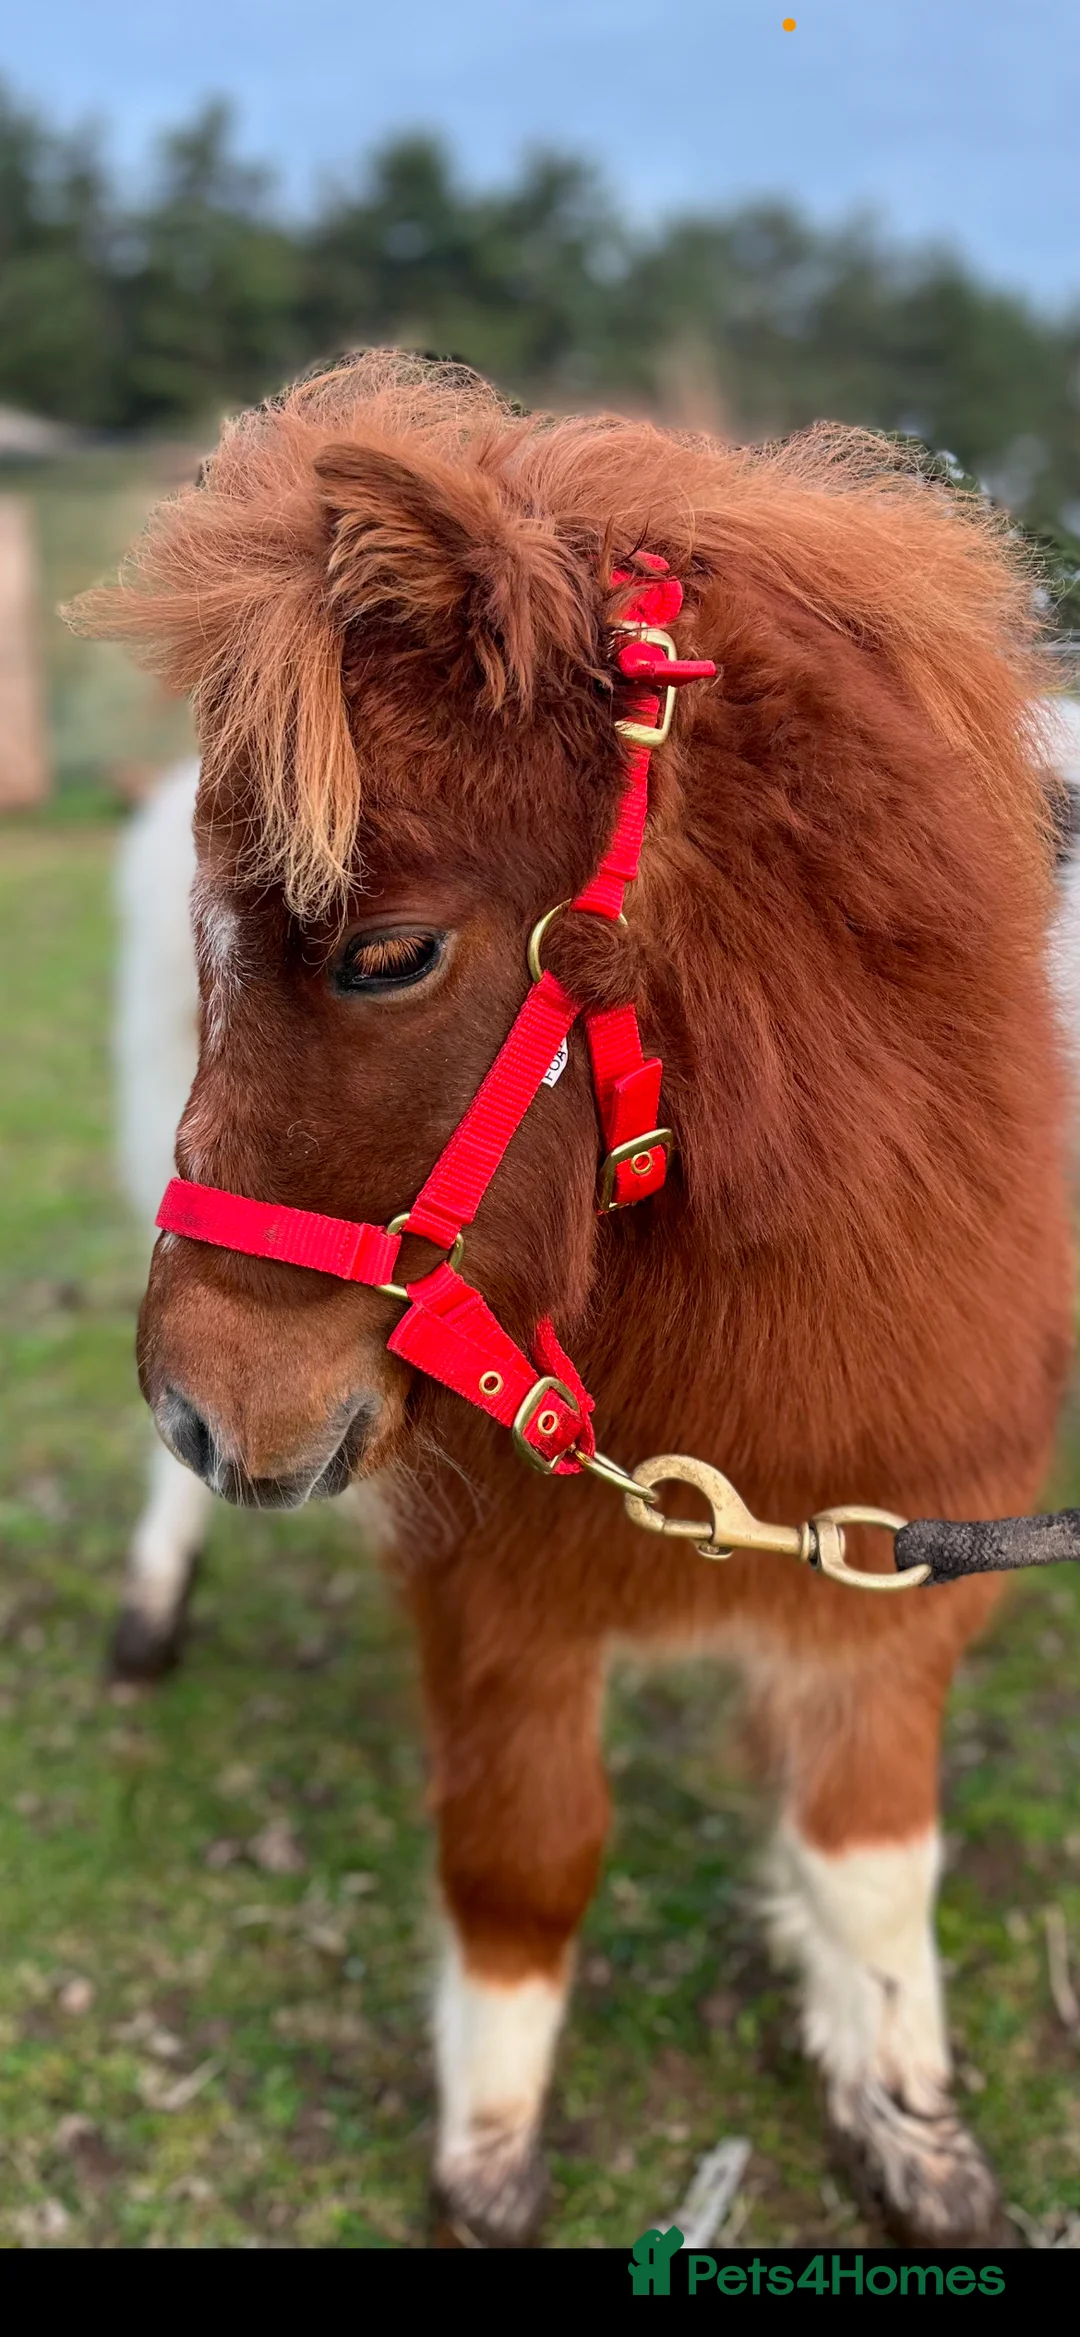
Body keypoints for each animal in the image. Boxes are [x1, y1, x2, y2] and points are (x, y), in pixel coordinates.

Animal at [73, 353, 1074, 2247]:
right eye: (226, 940)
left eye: (388, 952)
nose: (208, 1406)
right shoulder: (497, 1584)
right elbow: (527, 1859)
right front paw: (488, 2153)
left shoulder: (900, 1563)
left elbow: (871, 1866)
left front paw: (910, 2127)